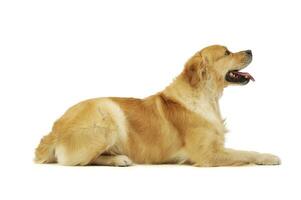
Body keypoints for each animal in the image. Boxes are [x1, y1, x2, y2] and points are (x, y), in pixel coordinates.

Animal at [35, 45, 282, 167]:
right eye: (227, 53)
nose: (250, 50)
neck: (206, 96)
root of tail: (53, 132)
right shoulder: (207, 154)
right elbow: (245, 152)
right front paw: (269, 157)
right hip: (107, 114)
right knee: (78, 162)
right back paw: (119, 159)